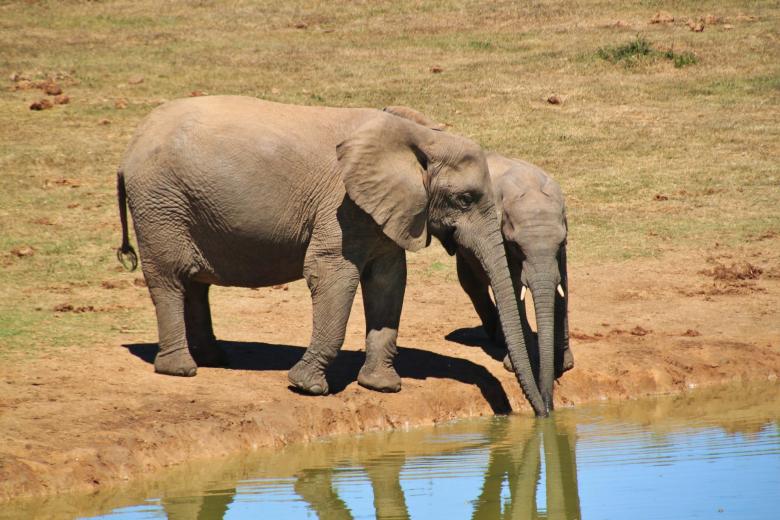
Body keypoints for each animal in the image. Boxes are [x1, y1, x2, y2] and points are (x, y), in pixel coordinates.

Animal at [116, 96, 549, 416]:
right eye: (464, 199)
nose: (543, 412)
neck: (418, 136)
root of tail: (131, 145)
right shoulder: (340, 206)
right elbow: (331, 275)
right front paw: (306, 388)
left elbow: (389, 281)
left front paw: (381, 387)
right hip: (160, 203)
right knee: (169, 279)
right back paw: (181, 370)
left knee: (195, 284)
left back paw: (214, 359)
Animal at [383, 106, 572, 412]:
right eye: (516, 245)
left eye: (561, 242)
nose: (547, 407)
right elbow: (511, 285)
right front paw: (517, 363)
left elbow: (562, 282)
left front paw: (563, 364)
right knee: (470, 280)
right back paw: (498, 337)